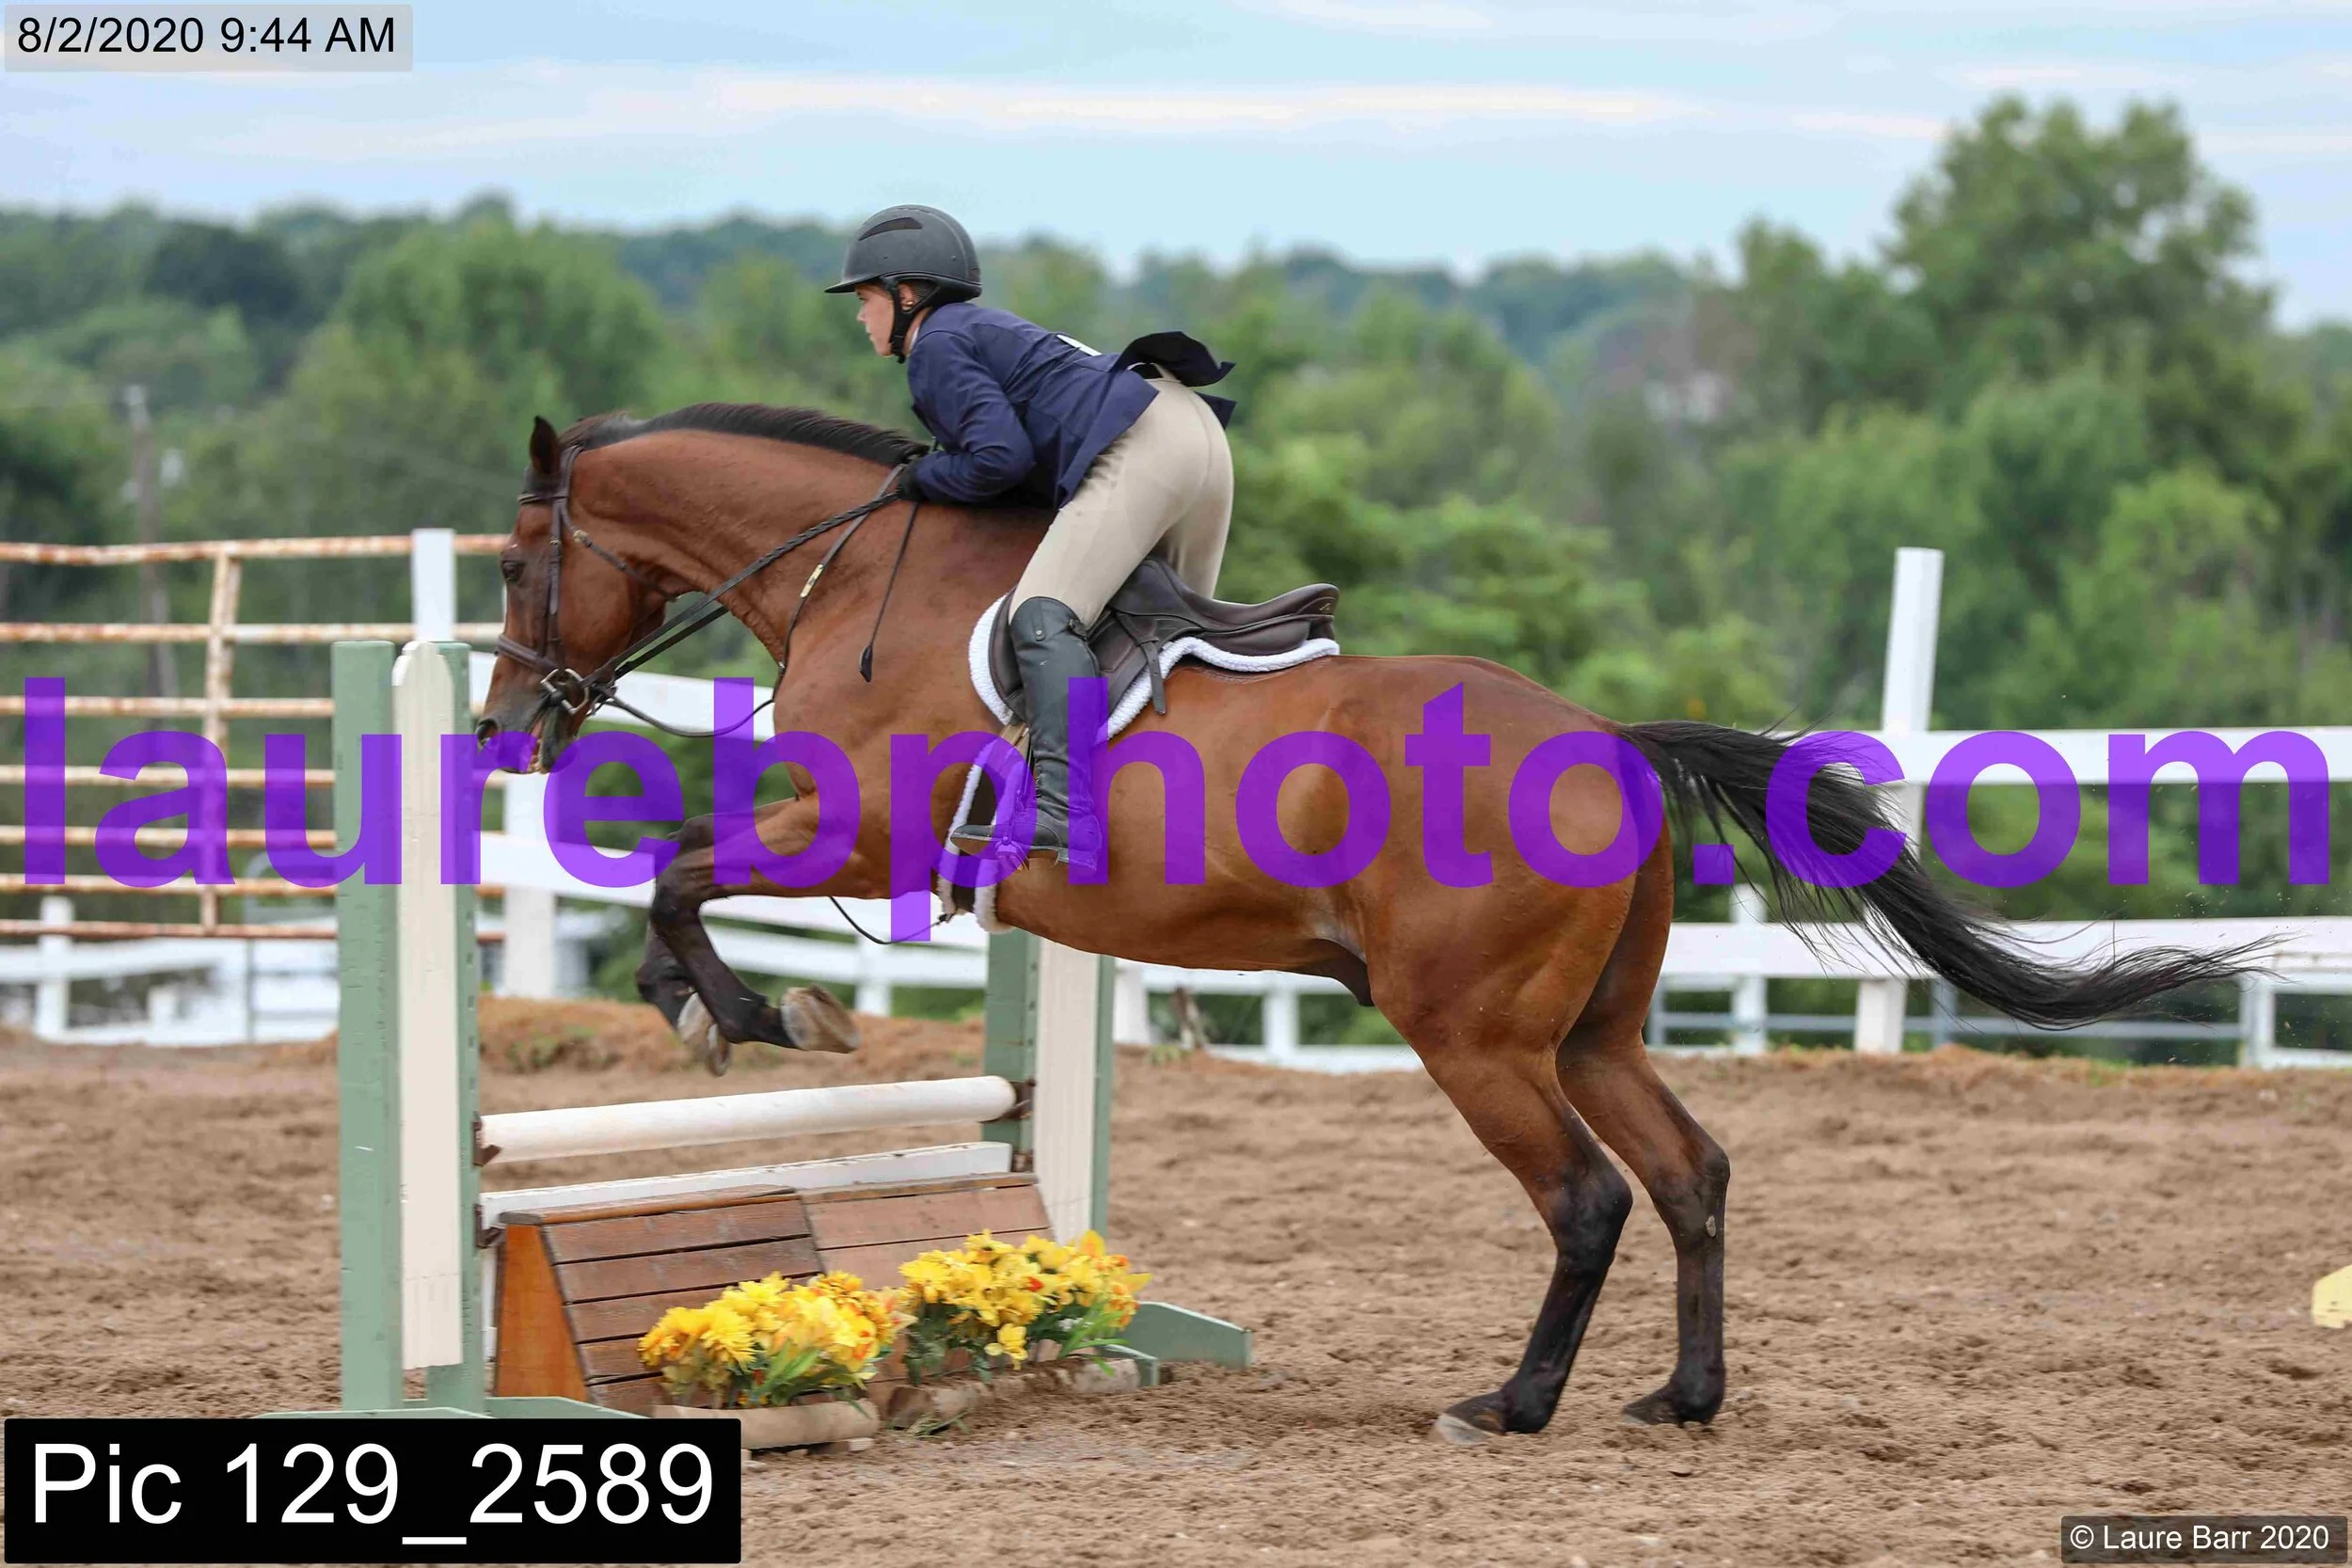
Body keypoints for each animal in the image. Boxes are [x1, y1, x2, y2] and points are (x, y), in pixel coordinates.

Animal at [476, 402, 2252, 1445]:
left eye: (514, 560)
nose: (503, 725)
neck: (865, 575)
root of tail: (1613, 740)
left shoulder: (853, 830)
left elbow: (680, 870)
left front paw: (735, 1008)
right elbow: (682, 868)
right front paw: (726, 1005)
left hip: (1473, 1035)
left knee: (1588, 1198)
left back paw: (1511, 1403)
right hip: (1588, 1029)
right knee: (1689, 1172)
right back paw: (1679, 1396)